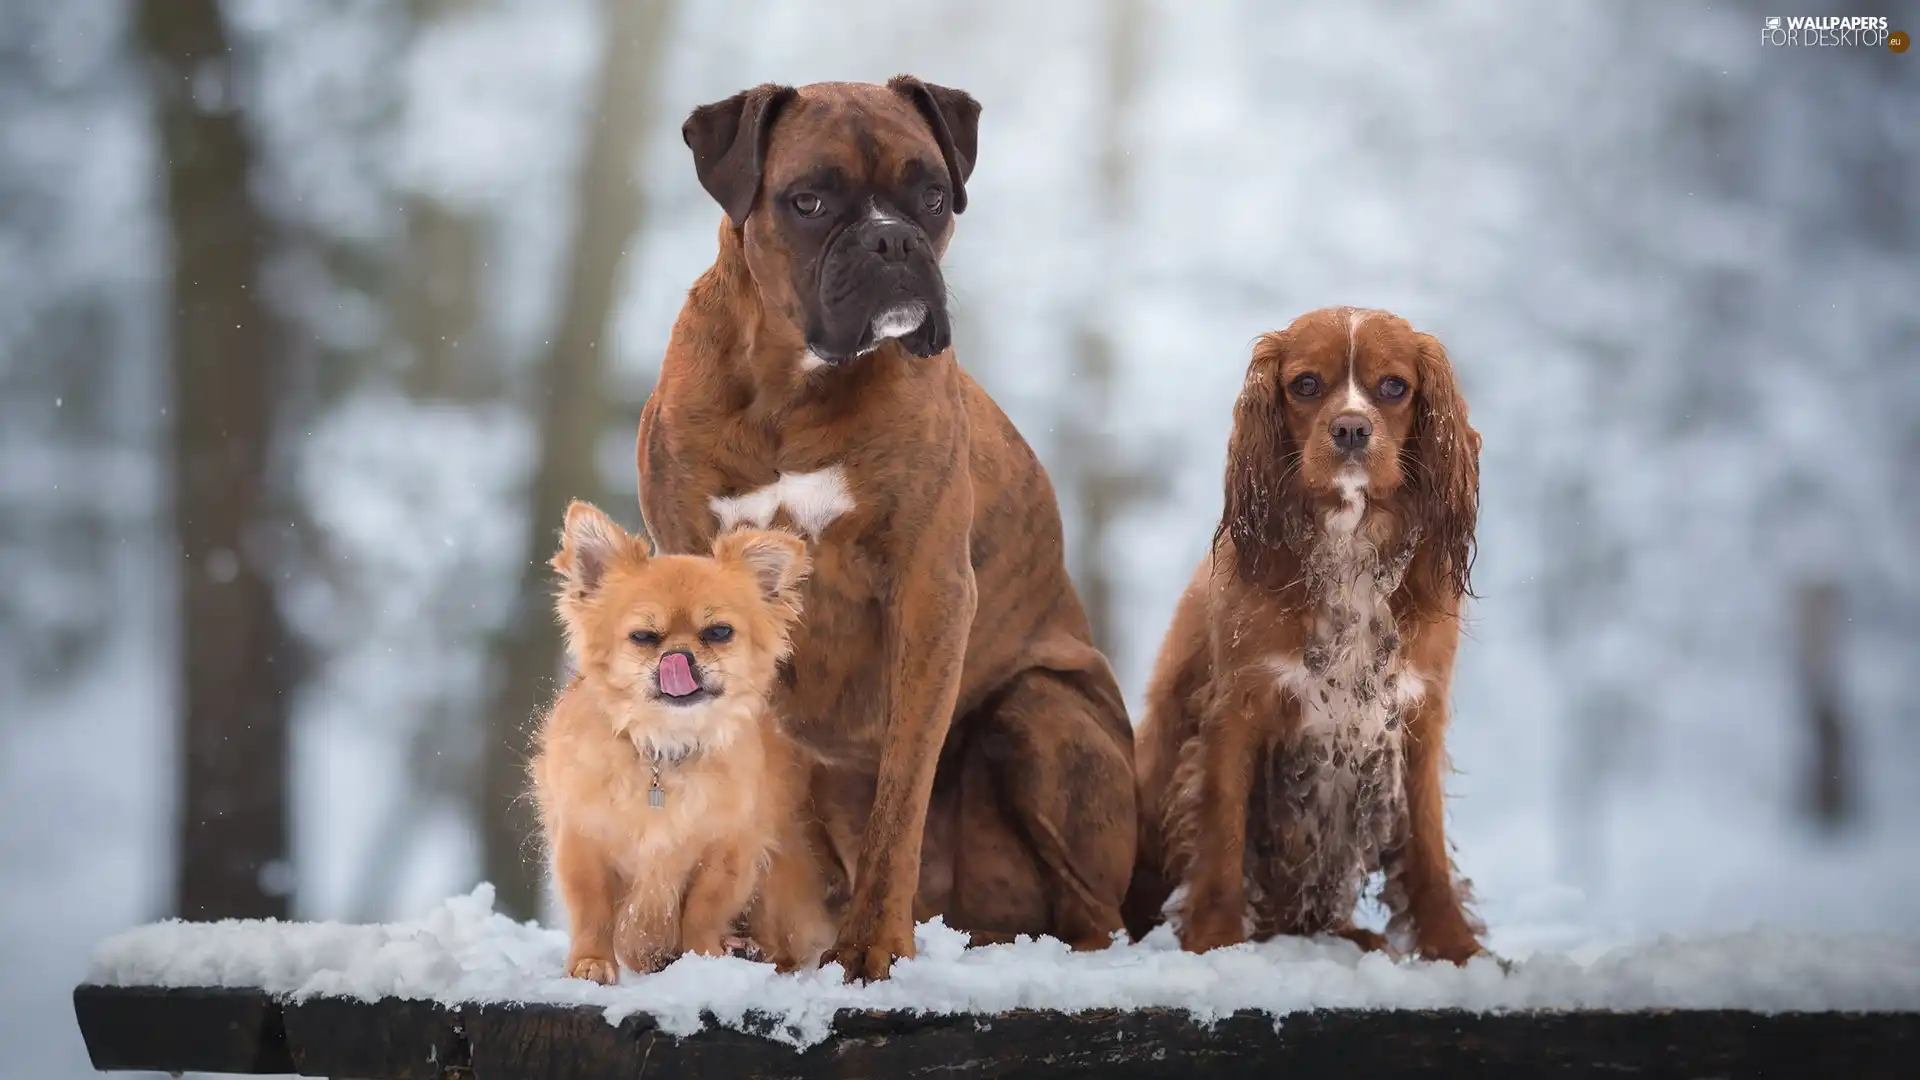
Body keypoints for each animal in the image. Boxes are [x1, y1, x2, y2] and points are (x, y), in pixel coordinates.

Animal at [629, 79, 1136, 980]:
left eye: (931, 195)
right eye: (810, 200)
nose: (891, 239)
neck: (793, 384)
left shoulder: (929, 592)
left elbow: (901, 794)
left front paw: (871, 949)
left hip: (1039, 713)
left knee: (1094, 915)